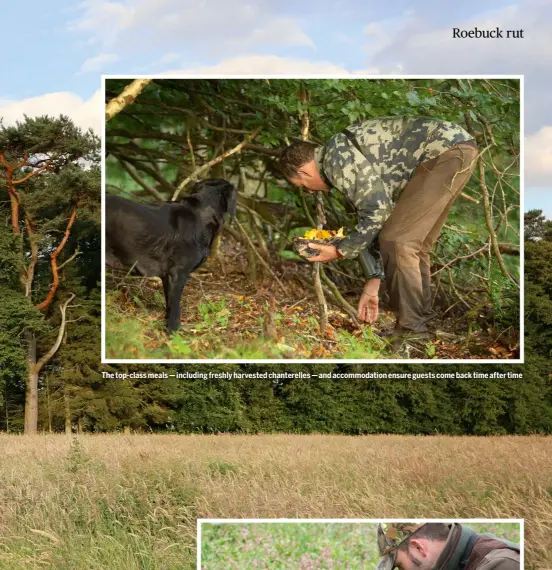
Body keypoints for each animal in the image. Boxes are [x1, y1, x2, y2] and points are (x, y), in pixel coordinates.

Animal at [106, 179, 237, 332]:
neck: (202, 214)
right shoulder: (178, 274)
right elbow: (175, 309)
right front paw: (174, 333)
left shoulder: (167, 277)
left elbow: (169, 305)